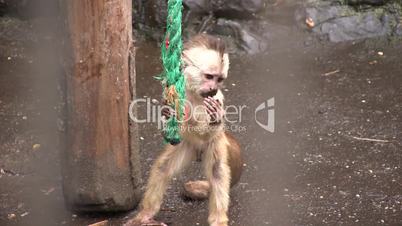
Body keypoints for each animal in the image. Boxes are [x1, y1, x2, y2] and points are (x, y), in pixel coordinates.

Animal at [125, 33, 243, 226]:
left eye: (219, 79)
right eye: (209, 76)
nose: (213, 87)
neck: (194, 93)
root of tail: (198, 154)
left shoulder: (216, 99)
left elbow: (205, 130)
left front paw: (215, 118)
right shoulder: (170, 90)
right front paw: (167, 114)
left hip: (215, 143)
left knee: (217, 171)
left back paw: (218, 219)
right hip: (187, 146)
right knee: (162, 168)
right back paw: (146, 214)